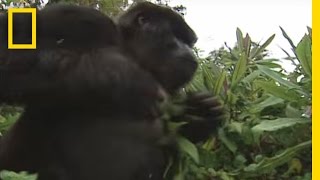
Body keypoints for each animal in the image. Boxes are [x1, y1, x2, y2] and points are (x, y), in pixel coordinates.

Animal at [0, 1, 222, 180]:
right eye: (175, 34)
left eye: (186, 39)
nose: (188, 49)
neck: (131, 51)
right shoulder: (81, 19)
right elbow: (10, 41)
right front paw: (124, 79)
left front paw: (198, 116)